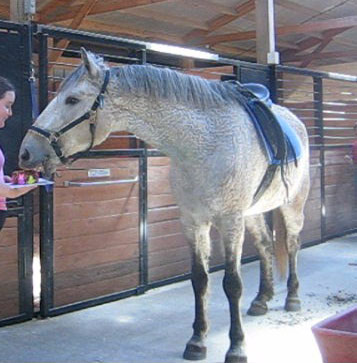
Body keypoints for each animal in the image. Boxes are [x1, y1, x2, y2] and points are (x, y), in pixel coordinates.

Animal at [18, 49, 308, 363]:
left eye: (72, 99)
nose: (26, 151)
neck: (205, 144)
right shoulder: (193, 221)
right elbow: (199, 279)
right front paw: (197, 341)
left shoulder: (230, 221)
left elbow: (232, 283)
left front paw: (236, 347)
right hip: (252, 213)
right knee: (267, 245)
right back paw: (262, 299)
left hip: (292, 206)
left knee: (291, 245)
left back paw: (292, 298)